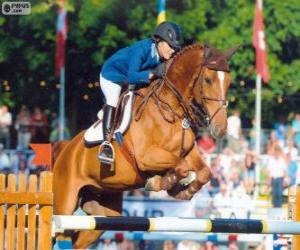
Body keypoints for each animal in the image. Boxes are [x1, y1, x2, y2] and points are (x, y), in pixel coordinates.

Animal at [52, 43, 238, 248]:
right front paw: (160, 183)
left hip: (101, 211)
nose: (220, 128)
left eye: (229, 82)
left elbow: (204, 172)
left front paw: (183, 190)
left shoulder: (188, 152)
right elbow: (181, 167)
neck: (171, 109)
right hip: (65, 202)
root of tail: (65, 148)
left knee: (78, 239)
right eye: (208, 80)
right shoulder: (146, 157)